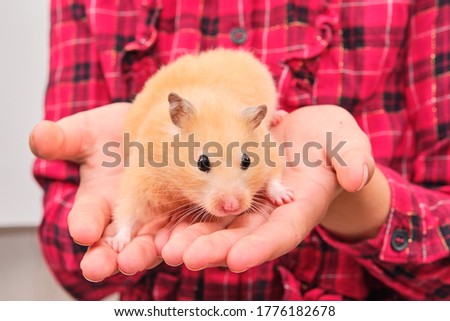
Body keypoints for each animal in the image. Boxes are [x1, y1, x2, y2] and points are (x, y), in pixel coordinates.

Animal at [107, 48, 294, 251]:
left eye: (247, 160)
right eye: (202, 163)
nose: (231, 206)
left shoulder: (269, 148)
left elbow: (274, 176)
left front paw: (286, 198)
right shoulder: (140, 176)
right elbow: (128, 210)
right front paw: (117, 245)